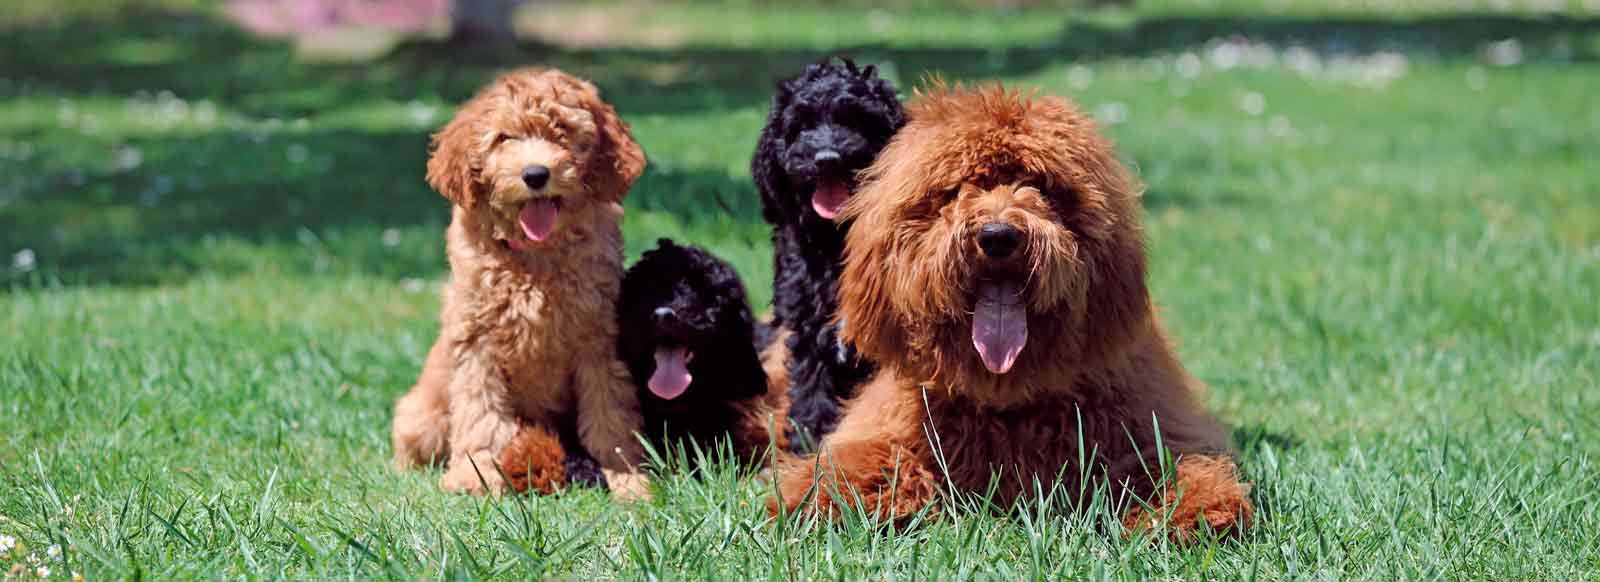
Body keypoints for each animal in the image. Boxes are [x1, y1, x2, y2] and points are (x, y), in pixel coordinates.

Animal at [390, 67, 652, 495]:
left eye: (561, 131)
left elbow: (610, 414)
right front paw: (475, 476)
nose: (536, 174)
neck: (535, 255)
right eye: (504, 138)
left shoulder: (599, 339)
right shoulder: (477, 343)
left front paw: (627, 477)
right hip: (420, 417)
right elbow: (481, 416)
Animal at [745, 56, 902, 450]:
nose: (827, 158)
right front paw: (809, 441)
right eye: (802, 125)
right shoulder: (808, 320)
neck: (835, 239)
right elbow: (813, 384)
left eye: (855, 119)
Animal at [768, 83, 1254, 540]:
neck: (1006, 396)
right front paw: (817, 499)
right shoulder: (892, 428)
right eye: (956, 189)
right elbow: (860, 461)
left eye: (1039, 186)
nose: (998, 235)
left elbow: (1164, 464)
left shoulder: (1141, 428)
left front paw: (1193, 510)